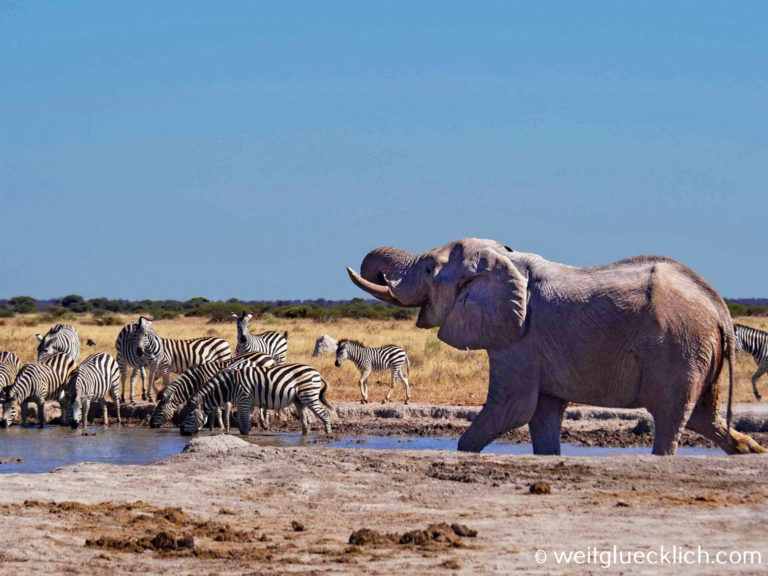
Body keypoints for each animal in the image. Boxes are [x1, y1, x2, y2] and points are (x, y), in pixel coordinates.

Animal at [180, 363, 332, 437]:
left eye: (190, 415)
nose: (181, 433)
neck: (229, 386)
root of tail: (317, 372)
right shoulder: (241, 402)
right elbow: (240, 419)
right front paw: (241, 432)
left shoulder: (244, 399)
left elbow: (246, 421)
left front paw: (246, 435)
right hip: (299, 400)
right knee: (305, 422)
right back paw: (303, 437)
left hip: (309, 395)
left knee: (324, 414)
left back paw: (328, 435)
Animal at [346, 237, 766, 456]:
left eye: (430, 269)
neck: (507, 259)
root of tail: (720, 310)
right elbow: (542, 414)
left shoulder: (520, 340)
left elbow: (512, 408)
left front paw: (463, 454)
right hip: (698, 352)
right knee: (702, 417)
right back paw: (751, 452)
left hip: (679, 348)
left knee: (671, 416)